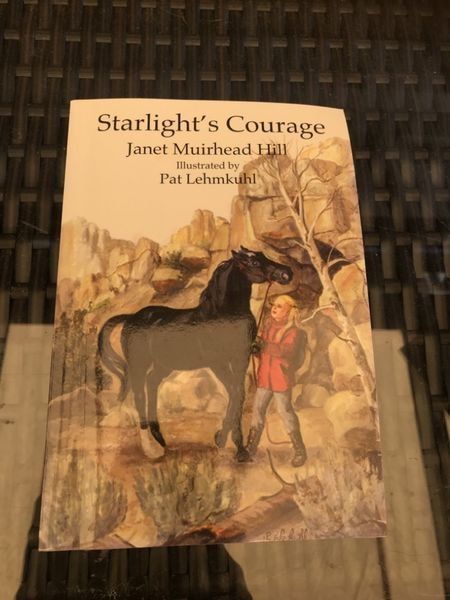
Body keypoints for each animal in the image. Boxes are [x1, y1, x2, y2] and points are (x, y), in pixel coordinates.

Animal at [98, 246, 293, 461]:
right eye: (253, 262)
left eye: (262, 256)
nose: (286, 273)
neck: (221, 316)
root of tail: (131, 317)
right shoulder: (218, 364)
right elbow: (234, 393)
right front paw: (229, 443)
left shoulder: (240, 361)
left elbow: (238, 395)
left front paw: (230, 444)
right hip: (139, 365)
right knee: (139, 395)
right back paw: (151, 449)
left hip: (163, 365)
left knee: (152, 384)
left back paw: (160, 439)